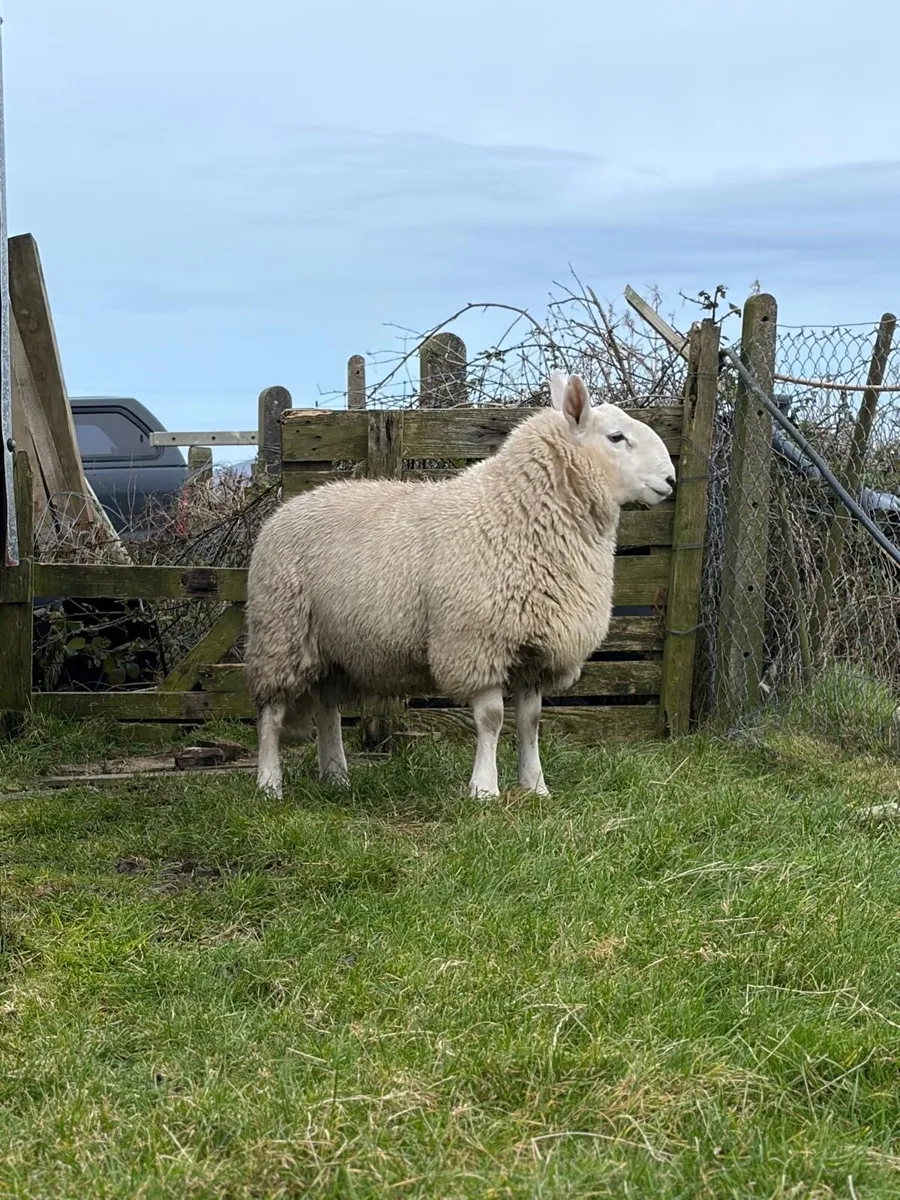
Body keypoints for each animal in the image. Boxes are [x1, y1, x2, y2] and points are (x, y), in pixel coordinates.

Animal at [245, 371, 676, 800]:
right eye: (616, 437)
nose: (670, 479)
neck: (517, 512)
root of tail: (287, 508)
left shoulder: (534, 650)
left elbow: (531, 720)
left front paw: (535, 786)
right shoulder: (479, 642)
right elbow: (492, 719)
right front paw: (484, 789)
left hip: (330, 646)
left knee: (326, 708)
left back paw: (335, 775)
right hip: (281, 631)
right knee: (271, 713)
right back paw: (269, 783)